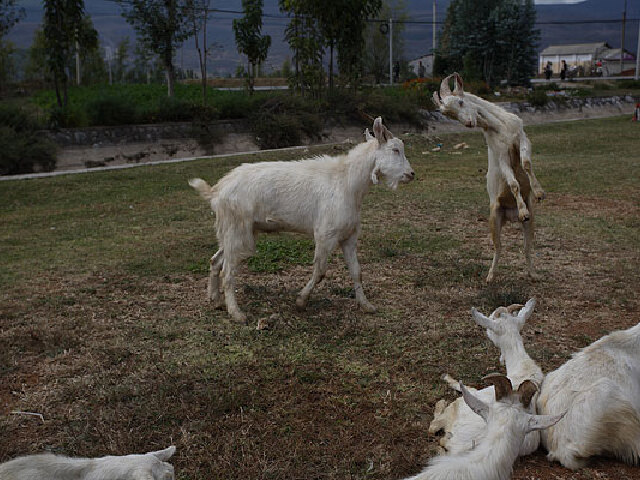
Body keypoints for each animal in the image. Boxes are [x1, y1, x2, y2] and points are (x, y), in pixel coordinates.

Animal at [189, 117, 415, 322]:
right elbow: (320, 271)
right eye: (395, 149)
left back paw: (215, 301)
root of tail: (217, 190)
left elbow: (356, 271)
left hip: (232, 230)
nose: (411, 174)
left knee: (215, 260)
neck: (346, 182)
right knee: (227, 271)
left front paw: (366, 305)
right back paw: (236, 313)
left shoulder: (348, 236)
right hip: (237, 230)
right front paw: (301, 301)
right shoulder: (325, 234)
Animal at [429, 299, 543, 456]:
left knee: (433, 427)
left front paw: (447, 377)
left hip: (456, 407)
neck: (524, 367)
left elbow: (464, 386)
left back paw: (440, 403)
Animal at [432, 73, 545, 282]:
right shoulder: (501, 157)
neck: (499, 127)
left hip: (531, 221)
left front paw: (540, 192)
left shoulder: (522, 138)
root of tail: (510, 217)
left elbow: (526, 163)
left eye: (461, 101)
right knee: (498, 247)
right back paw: (490, 276)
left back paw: (533, 274)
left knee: (526, 247)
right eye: (449, 115)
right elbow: (513, 183)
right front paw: (522, 211)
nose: (469, 123)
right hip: (494, 217)